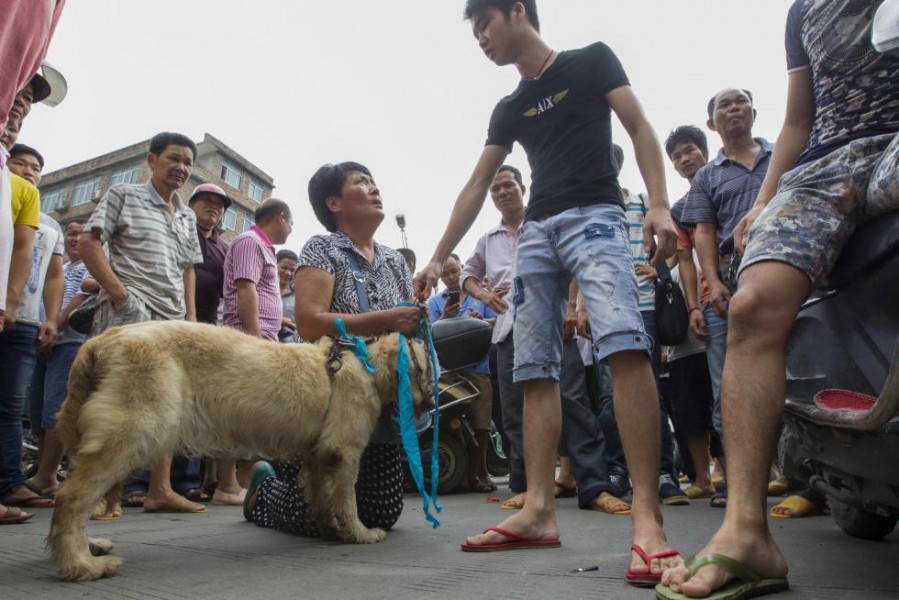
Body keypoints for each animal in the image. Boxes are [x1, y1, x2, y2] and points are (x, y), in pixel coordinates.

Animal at [49, 322, 436, 580]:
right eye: (429, 370)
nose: (433, 402)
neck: (366, 365)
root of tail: (100, 341)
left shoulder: (318, 456)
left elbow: (321, 498)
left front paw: (331, 530)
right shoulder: (344, 452)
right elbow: (347, 499)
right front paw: (359, 533)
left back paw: (91, 546)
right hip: (136, 429)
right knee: (71, 497)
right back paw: (81, 564)